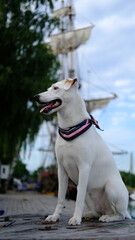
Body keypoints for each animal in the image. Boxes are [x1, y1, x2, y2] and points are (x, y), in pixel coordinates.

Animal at [34, 77, 131, 225]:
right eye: (48, 88)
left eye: (56, 88)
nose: (35, 97)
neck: (69, 126)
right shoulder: (61, 169)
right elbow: (60, 197)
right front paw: (55, 216)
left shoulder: (84, 167)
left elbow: (78, 198)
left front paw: (75, 218)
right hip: (89, 195)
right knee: (97, 212)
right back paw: (88, 214)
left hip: (112, 187)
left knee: (120, 215)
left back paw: (108, 218)